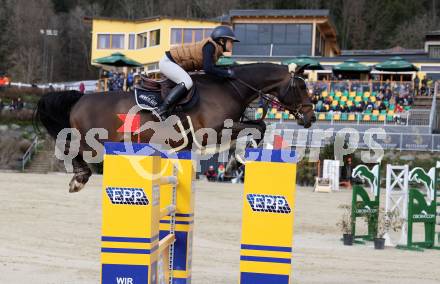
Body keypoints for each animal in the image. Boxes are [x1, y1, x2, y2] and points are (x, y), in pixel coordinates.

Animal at [36, 61, 314, 191]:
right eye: (301, 87)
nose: (310, 117)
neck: (230, 89)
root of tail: (81, 98)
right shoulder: (211, 132)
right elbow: (254, 127)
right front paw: (241, 157)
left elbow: (259, 125)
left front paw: (247, 153)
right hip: (92, 140)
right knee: (73, 149)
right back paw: (79, 179)